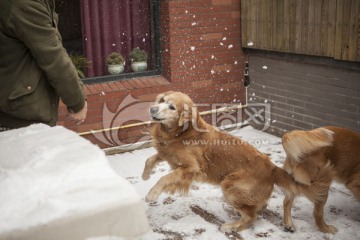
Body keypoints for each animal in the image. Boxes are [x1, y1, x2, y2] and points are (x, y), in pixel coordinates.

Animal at [142, 91, 300, 232]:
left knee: (251, 216)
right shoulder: (168, 154)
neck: (181, 133)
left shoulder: (192, 167)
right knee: (258, 208)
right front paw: (145, 175)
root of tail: (272, 168)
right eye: (162, 100)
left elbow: (164, 178)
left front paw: (151, 195)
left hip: (229, 186)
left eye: (172, 107)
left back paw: (231, 226)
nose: (152, 109)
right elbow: (150, 159)